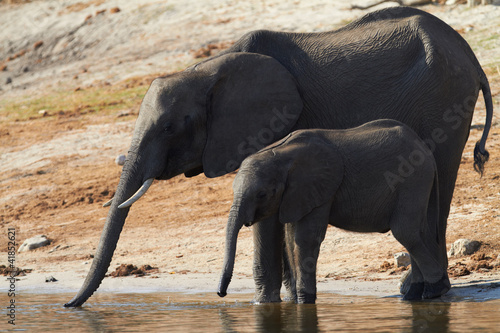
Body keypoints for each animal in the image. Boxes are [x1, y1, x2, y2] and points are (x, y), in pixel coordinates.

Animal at [217, 118, 452, 302]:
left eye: (262, 194)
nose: (221, 293)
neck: (280, 153)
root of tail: (425, 148)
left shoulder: (321, 189)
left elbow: (305, 239)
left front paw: (305, 301)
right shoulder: (296, 194)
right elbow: (291, 238)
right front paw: (297, 302)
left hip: (413, 177)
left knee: (406, 231)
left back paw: (433, 291)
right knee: (419, 231)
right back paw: (414, 295)